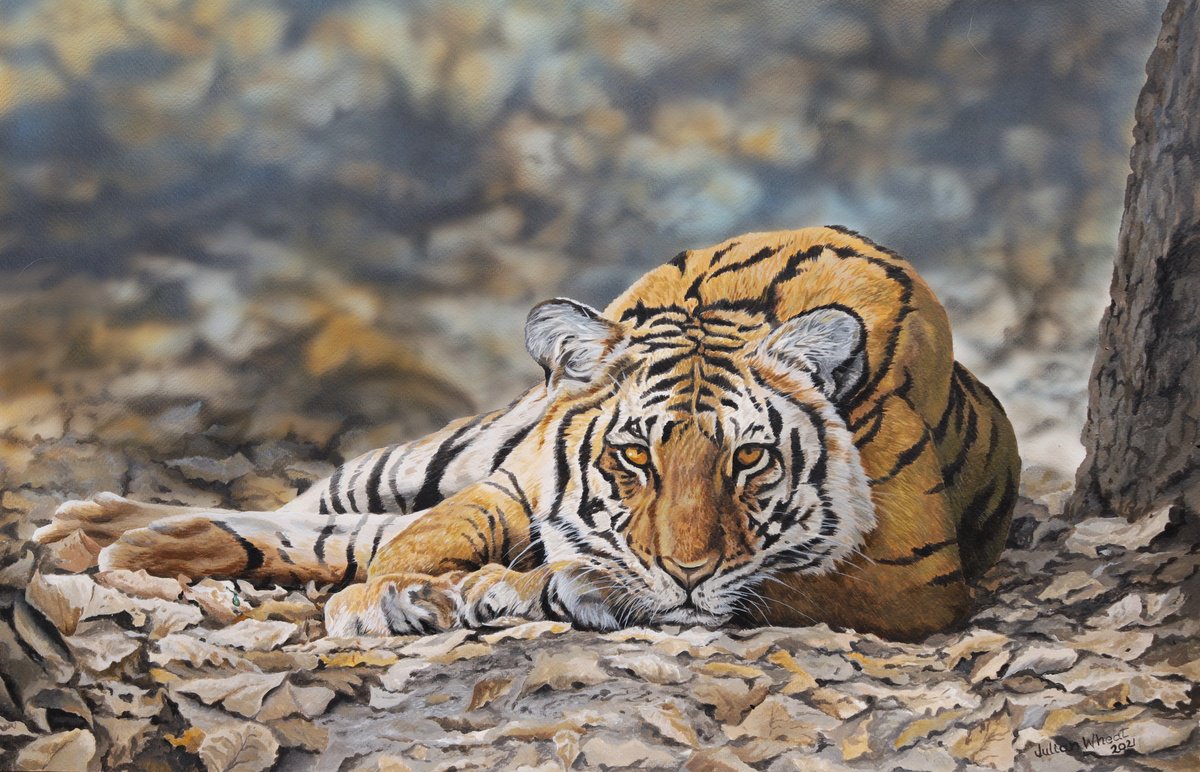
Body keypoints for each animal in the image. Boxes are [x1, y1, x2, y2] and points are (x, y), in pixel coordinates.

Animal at [33, 226, 1019, 642]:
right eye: (633, 456)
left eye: (749, 459)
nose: (688, 570)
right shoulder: (515, 480)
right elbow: (423, 537)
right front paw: (388, 600)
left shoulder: (908, 580)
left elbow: (773, 585)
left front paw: (516, 591)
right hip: (445, 448)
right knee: (326, 509)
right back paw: (108, 527)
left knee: (335, 530)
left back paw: (126, 540)